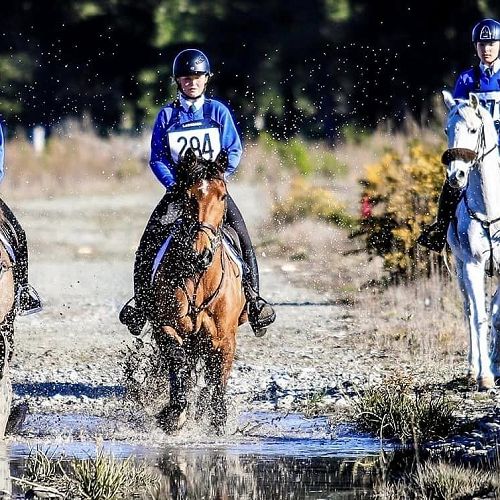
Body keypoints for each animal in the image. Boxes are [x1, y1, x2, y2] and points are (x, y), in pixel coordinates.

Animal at [150, 148, 247, 433]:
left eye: (222, 196)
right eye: (188, 196)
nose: (201, 253)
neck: (199, 281)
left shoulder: (225, 338)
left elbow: (218, 381)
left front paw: (216, 420)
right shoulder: (166, 327)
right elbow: (178, 364)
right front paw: (174, 413)